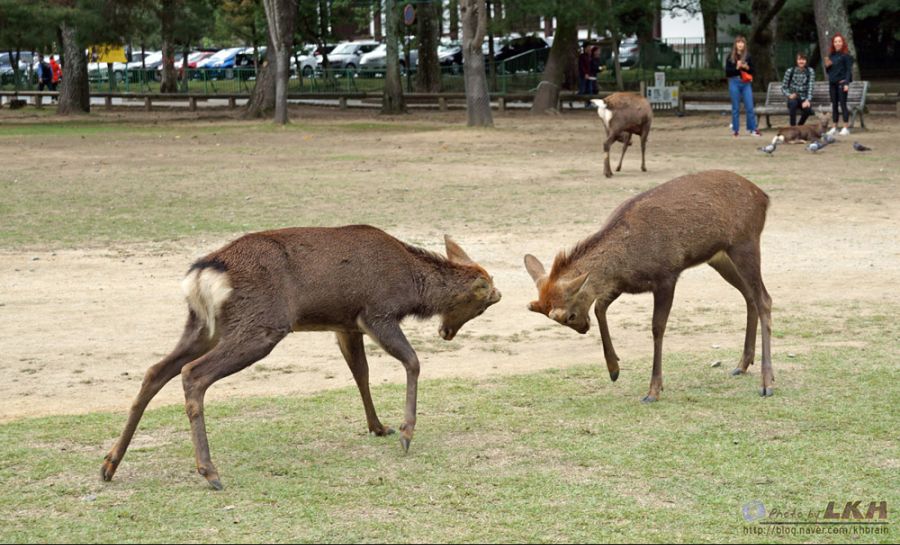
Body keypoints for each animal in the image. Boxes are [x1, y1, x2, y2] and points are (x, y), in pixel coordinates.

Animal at [103, 225, 506, 488]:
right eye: (482, 302)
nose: (446, 332)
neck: (412, 288)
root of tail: (203, 274)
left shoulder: (346, 325)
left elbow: (361, 374)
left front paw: (379, 427)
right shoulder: (377, 312)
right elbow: (412, 361)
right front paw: (406, 433)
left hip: (202, 326)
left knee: (155, 370)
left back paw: (109, 464)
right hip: (261, 326)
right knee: (193, 373)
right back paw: (209, 471)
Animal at [528, 172, 772, 402]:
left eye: (568, 316)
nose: (583, 328)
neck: (624, 260)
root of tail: (764, 197)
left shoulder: (666, 276)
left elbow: (657, 327)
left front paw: (653, 390)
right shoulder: (623, 284)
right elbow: (599, 307)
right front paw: (614, 368)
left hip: (745, 243)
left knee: (764, 299)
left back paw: (767, 383)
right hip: (719, 257)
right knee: (749, 295)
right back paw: (742, 364)